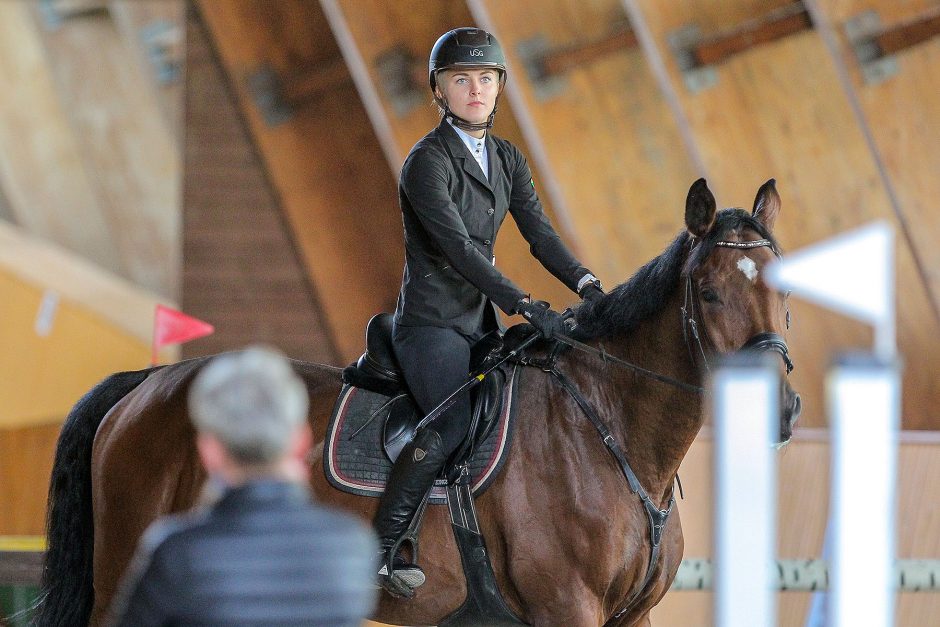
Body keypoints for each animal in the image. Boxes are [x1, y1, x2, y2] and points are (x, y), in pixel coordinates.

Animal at [35, 178, 800, 627]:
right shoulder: (566, 608)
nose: (783, 410)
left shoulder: (627, 617)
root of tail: (145, 384)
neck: (605, 431)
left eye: (785, 291)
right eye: (709, 294)